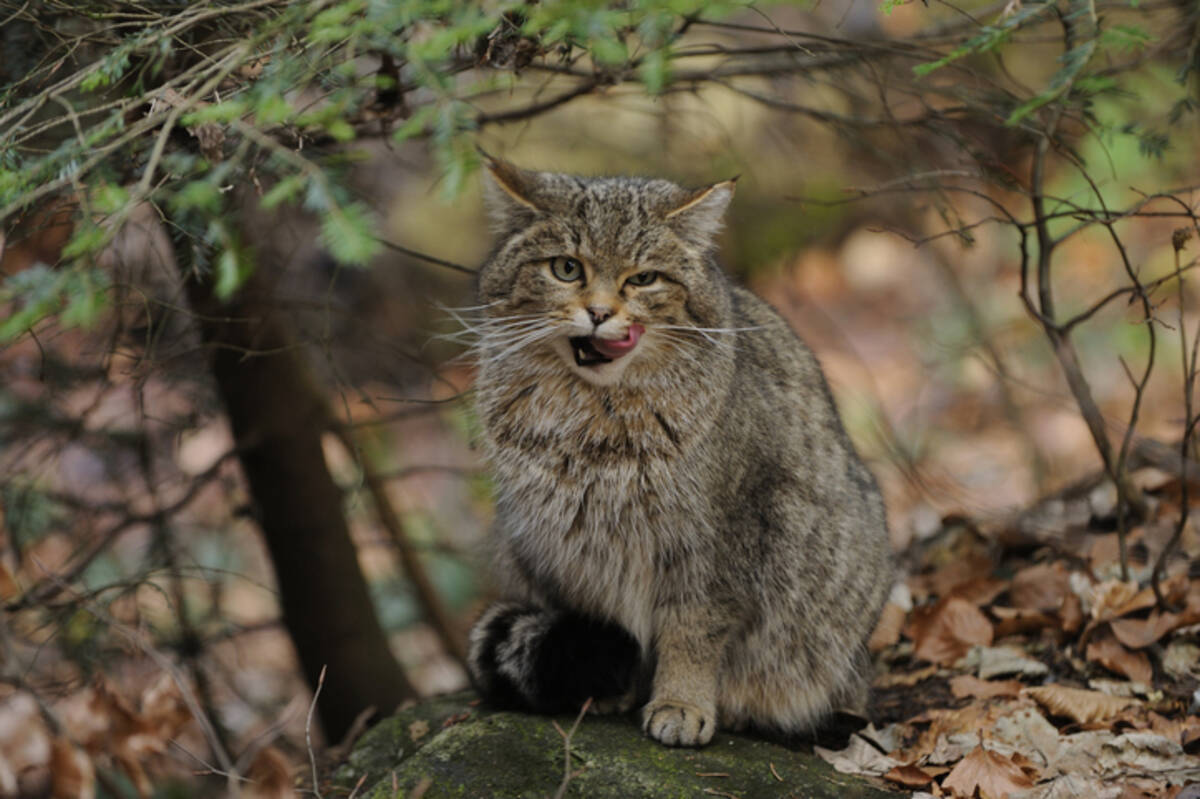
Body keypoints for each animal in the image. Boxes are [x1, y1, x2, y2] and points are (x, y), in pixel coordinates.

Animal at [463, 157, 897, 748]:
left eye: (643, 278)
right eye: (566, 268)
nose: (598, 312)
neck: (592, 421)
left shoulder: (716, 547)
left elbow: (693, 633)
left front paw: (682, 701)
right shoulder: (568, 547)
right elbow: (605, 622)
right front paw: (612, 688)